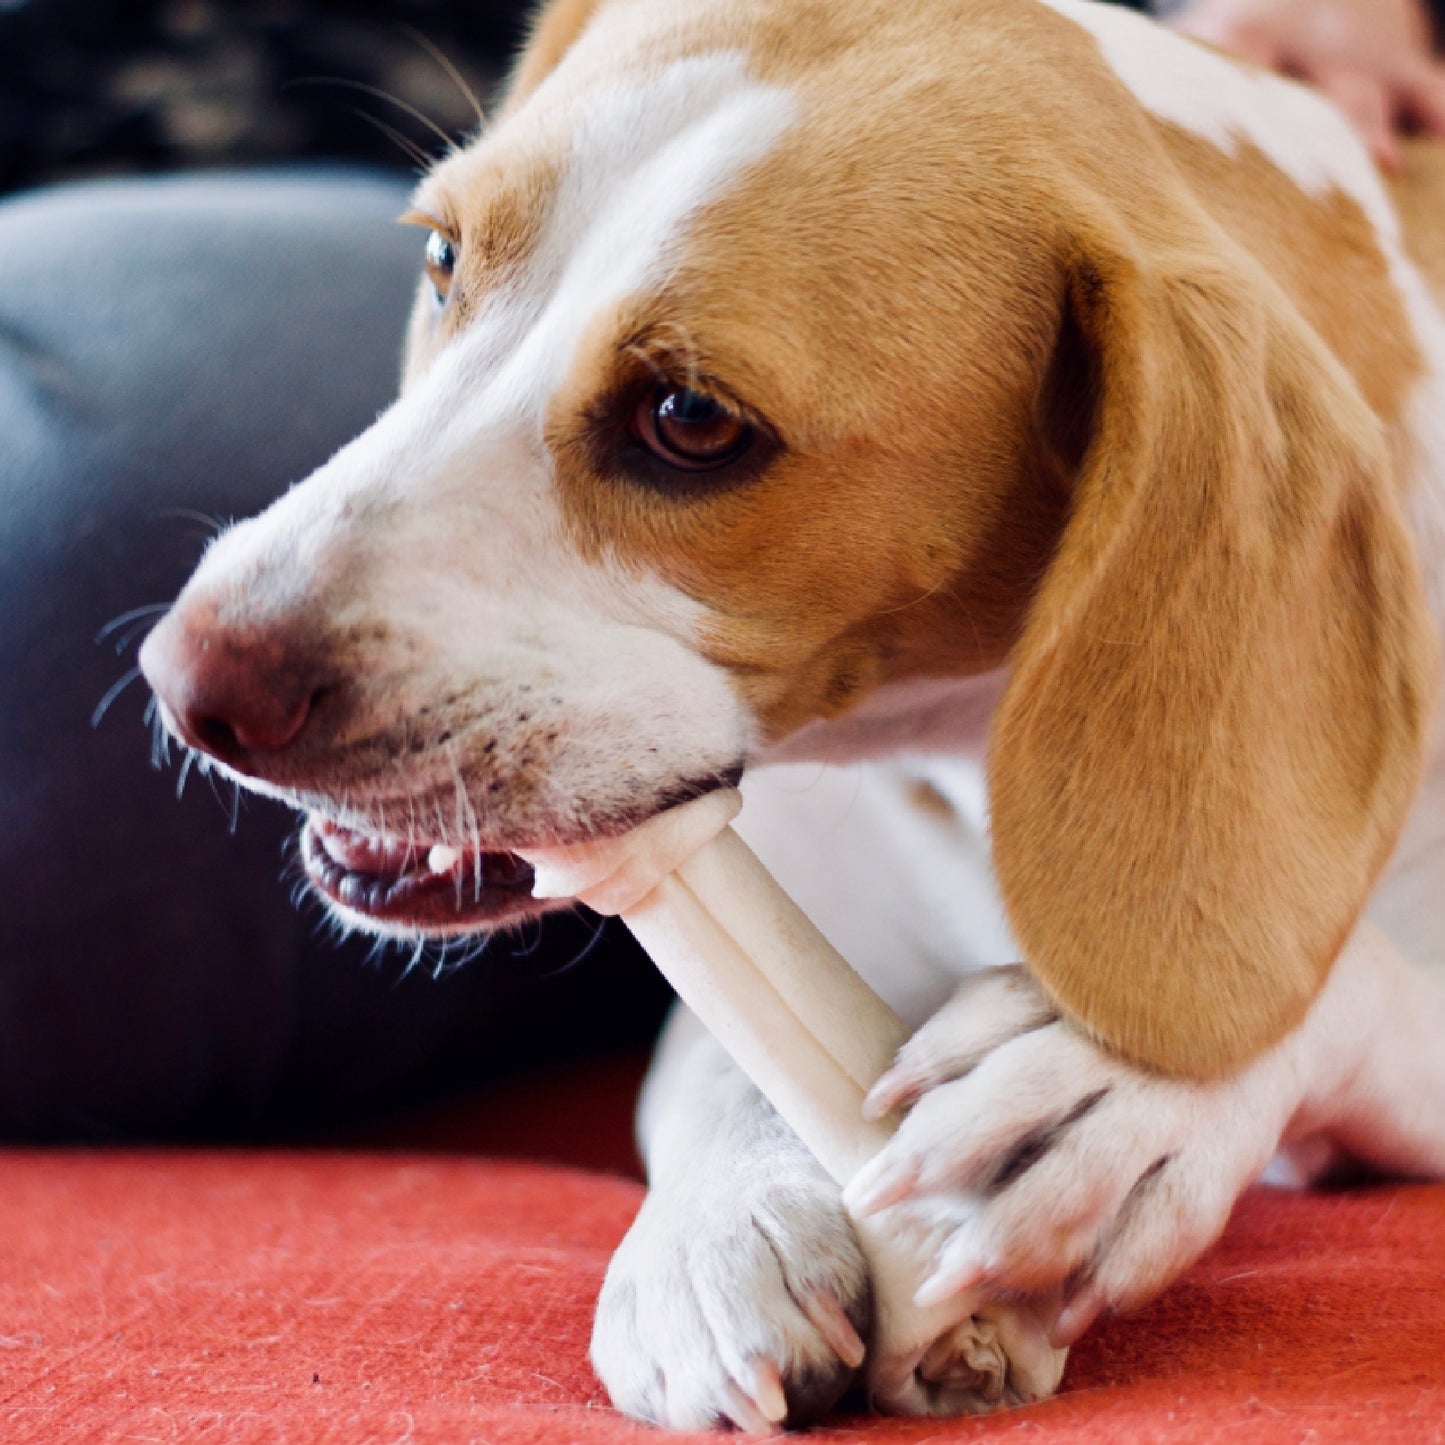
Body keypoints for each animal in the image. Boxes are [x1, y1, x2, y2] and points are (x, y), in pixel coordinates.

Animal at [140, 0, 1445, 1427]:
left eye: (690, 418)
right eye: (441, 257)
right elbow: (726, 1046)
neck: (947, 754)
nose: (187, 682)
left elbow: (1341, 984)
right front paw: (721, 1225)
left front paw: (1116, 1085)